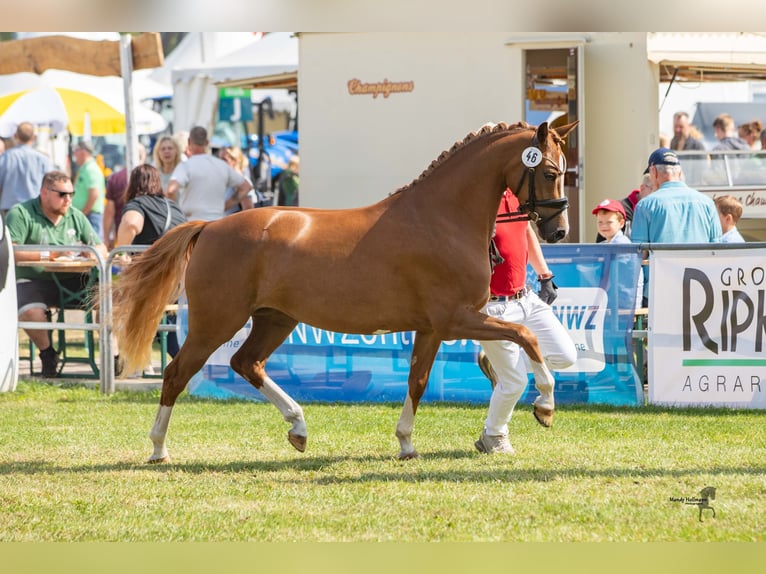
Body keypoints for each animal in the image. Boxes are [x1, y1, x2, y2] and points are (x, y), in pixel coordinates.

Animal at [112, 121, 576, 464]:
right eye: (550, 173)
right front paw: (545, 406)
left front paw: (406, 443)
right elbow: (527, 336)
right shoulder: (456, 319)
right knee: (177, 373)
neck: (443, 217)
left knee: (248, 363)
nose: (558, 231)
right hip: (217, 322)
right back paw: (158, 449)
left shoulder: (432, 329)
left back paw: (298, 428)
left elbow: (418, 381)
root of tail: (208, 227)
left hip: (275, 319)